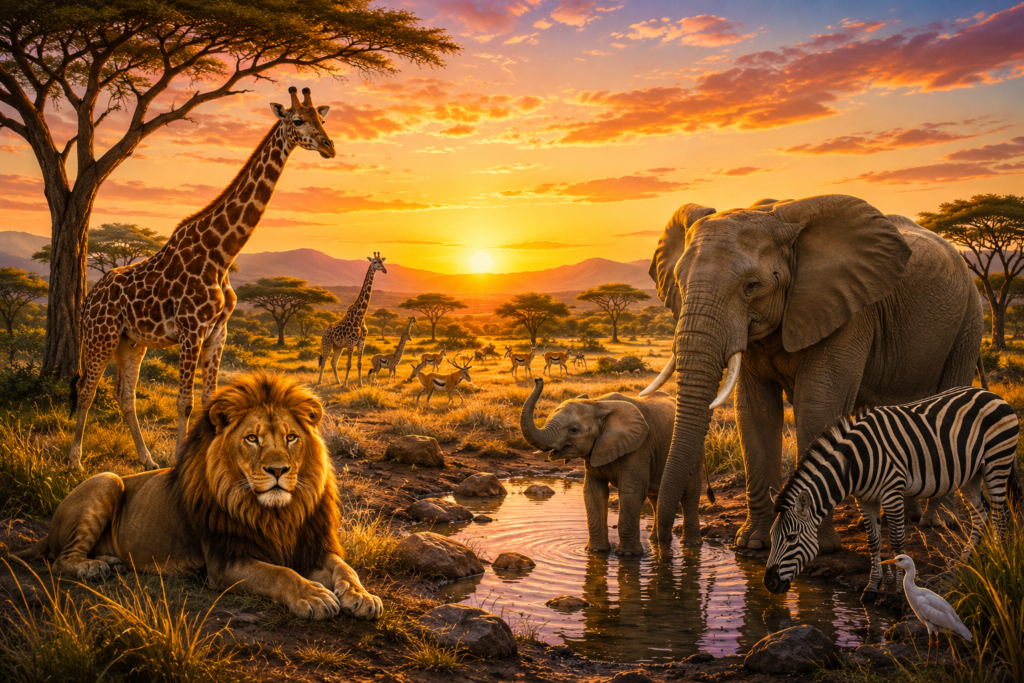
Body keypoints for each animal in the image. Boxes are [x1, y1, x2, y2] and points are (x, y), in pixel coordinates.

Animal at [12, 372, 382, 621]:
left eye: (291, 437)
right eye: (252, 439)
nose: (278, 470)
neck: (277, 513)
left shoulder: (312, 546)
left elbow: (346, 569)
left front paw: (362, 597)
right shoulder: (225, 562)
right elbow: (281, 574)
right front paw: (314, 596)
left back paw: (109, 561)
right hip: (108, 479)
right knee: (61, 560)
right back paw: (93, 567)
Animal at [519, 378, 675, 556]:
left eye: (574, 430)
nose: (538, 379)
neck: (598, 404)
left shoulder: (640, 448)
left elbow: (631, 492)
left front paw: (628, 555)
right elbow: (593, 492)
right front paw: (595, 551)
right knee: (655, 497)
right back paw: (654, 541)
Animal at [641, 194, 984, 554]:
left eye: (752, 286)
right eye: (679, 284)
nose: (662, 544)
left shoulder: (849, 311)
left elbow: (817, 406)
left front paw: (817, 547)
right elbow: (756, 413)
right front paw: (753, 543)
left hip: (968, 321)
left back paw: (938, 521)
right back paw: (900, 518)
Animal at [763, 386, 1021, 603]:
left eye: (791, 538)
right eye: (773, 536)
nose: (768, 584)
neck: (854, 464)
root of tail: (992, 394)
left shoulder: (892, 493)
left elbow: (897, 542)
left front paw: (898, 593)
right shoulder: (864, 500)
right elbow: (874, 542)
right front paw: (871, 589)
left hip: (997, 462)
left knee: (1000, 515)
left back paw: (997, 560)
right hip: (971, 474)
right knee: (980, 516)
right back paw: (963, 563)